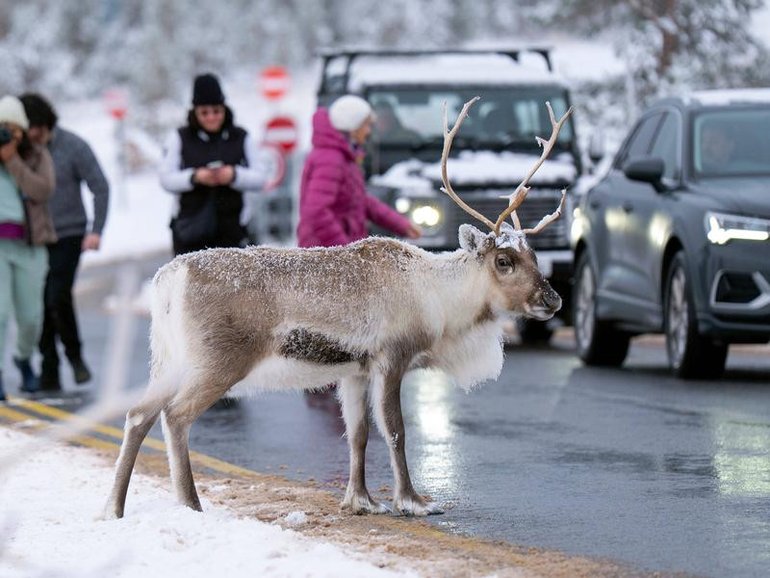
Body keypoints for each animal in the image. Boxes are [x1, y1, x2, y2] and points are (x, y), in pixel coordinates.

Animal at [104, 98, 572, 519]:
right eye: (503, 261)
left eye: (532, 255)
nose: (552, 299)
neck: (436, 298)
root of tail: (167, 279)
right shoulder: (391, 357)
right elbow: (396, 431)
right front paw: (413, 501)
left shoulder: (354, 370)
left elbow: (357, 434)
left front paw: (360, 500)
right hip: (216, 361)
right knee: (175, 416)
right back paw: (190, 504)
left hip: (167, 359)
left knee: (137, 414)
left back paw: (114, 508)